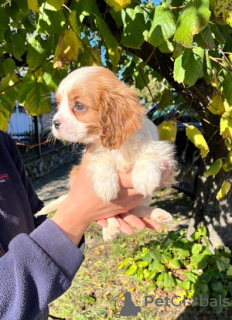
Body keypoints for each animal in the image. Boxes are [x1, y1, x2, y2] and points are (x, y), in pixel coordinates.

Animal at [36, 65, 177, 240]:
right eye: (58, 104)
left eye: (79, 106)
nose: (55, 123)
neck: (118, 146)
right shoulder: (90, 156)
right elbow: (101, 159)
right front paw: (106, 184)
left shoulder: (165, 152)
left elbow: (149, 154)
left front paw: (145, 177)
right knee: (110, 215)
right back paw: (110, 228)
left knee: (135, 209)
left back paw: (158, 213)